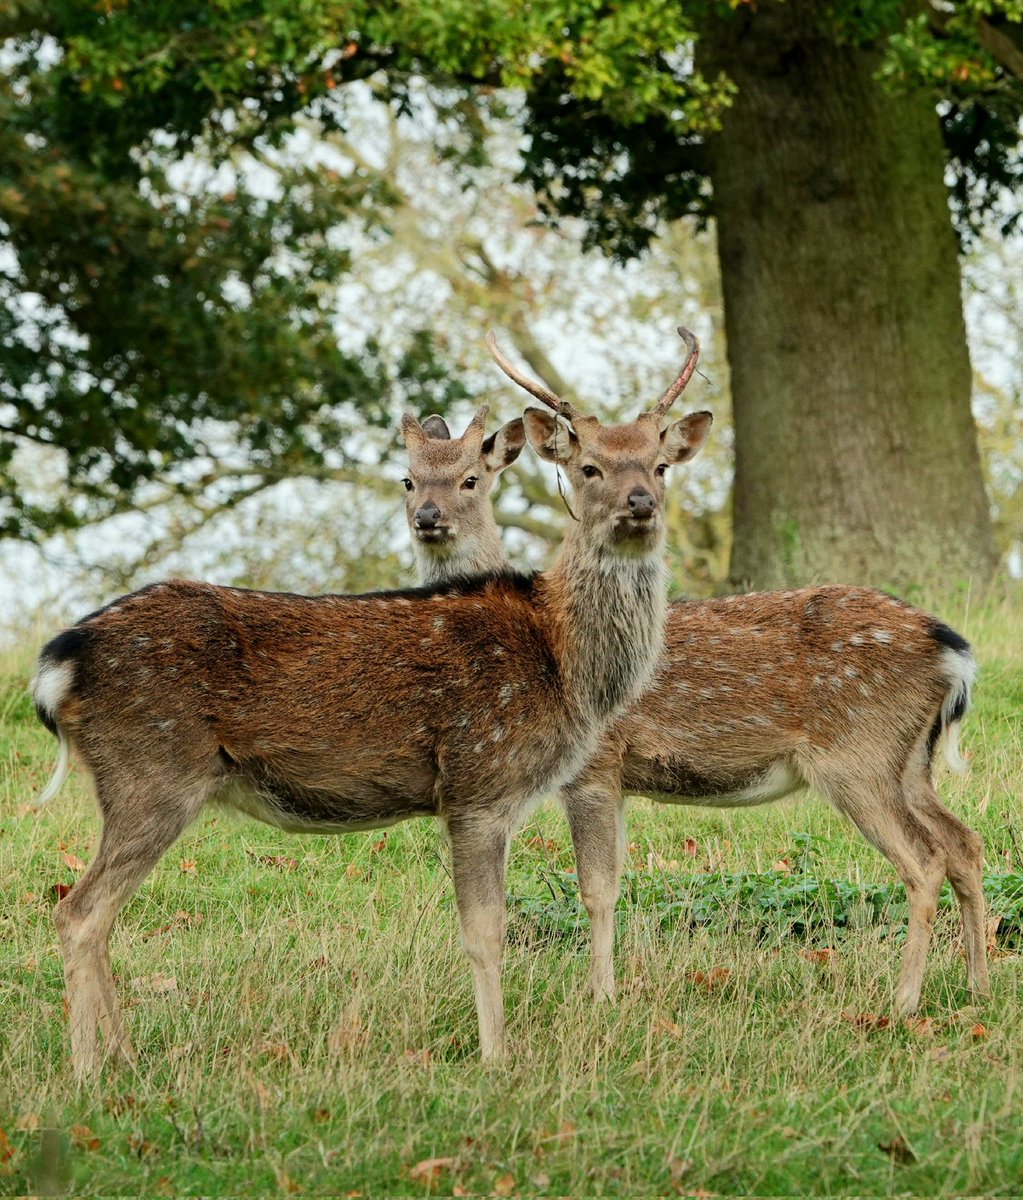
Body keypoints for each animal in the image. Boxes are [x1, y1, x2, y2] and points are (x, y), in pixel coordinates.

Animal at [29, 328, 711, 1078]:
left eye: (660, 465)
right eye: (588, 467)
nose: (640, 502)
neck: (561, 661)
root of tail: (61, 661)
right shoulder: (476, 780)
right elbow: (485, 932)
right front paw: (496, 1060)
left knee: (95, 914)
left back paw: (124, 1060)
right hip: (151, 772)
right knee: (79, 913)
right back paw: (89, 1071)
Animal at [401, 339, 988, 1021]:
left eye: (472, 479)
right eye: (408, 477)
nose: (429, 516)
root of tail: (951, 650)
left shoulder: (596, 764)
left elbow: (596, 888)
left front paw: (600, 998)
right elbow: (612, 882)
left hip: (858, 754)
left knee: (925, 861)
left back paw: (904, 1001)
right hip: (911, 760)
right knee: (964, 844)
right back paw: (977, 985)